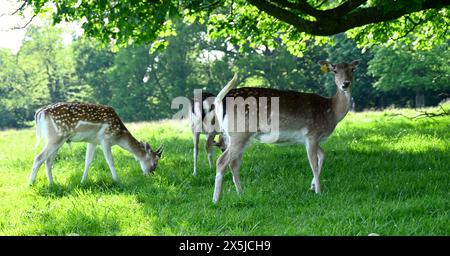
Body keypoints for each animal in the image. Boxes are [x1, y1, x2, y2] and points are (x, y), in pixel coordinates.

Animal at [29, 102, 163, 186]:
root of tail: (39, 113)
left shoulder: (92, 141)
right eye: (155, 162)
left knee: (48, 161)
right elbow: (110, 161)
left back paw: (52, 184)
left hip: (55, 140)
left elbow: (88, 161)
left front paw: (82, 181)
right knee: (38, 157)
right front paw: (117, 180)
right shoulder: (105, 139)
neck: (118, 136)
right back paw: (31, 183)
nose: (151, 175)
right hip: (56, 137)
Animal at [213, 60, 360, 204]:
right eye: (335, 71)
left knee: (234, 164)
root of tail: (221, 100)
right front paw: (318, 192)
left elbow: (323, 155)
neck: (331, 112)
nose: (345, 84)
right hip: (240, 132)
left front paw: (312, 186)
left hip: (235, 136)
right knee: (221, 161)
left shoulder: (310, 139)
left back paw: (241, 194)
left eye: (352, 69)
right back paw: (216, 200)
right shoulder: (312, 134)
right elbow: (313, 163)